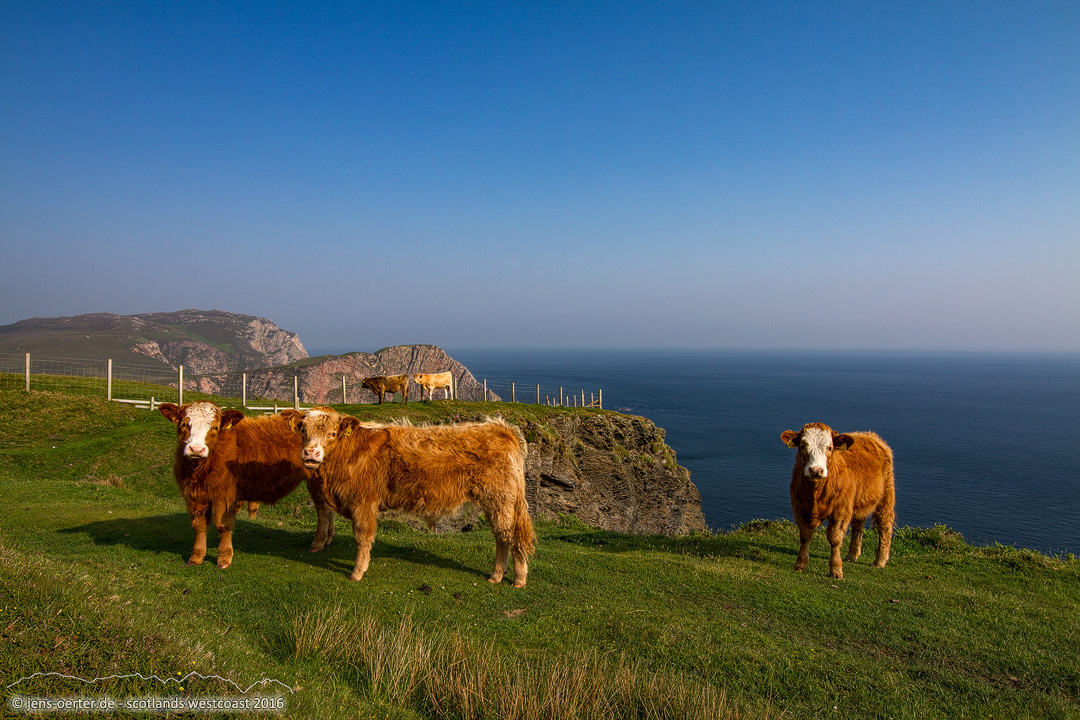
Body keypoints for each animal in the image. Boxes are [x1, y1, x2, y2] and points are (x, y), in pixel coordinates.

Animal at [159, 401, 336, 569]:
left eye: (215, 427)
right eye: (183, 425)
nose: (196, 449)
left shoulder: (225, 495)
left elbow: (222, 525)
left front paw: (224, 559)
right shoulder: (195, 495)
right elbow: (199, 525)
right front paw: (196, 557)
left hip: (316, 480)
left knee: (322, 511)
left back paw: (318, 542)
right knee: (328, 509)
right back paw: (328, 538)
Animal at [280, 407, 536, 588]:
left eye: (332, 434)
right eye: (303, 430)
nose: (311, 453)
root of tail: (500, 427)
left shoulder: (363, 503)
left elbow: (363, 537)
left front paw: (357, 572)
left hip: (501, 500)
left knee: (511, 535)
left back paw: (519, 579)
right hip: (495, 503)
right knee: (501, 536)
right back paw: (496, 575)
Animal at [781, 422, 895, 579]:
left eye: (829, 447)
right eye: (803, 446)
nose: (816, 470)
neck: (815, 493)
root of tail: (870, 435)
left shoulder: (840, 510)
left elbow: (835, 539)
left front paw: (836, 570)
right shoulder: (799, 506)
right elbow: (805, 535)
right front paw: (800, 564)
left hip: (886, 497)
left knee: (884, 526)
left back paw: (880, 560)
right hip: (859, 501)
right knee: (858, 526)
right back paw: (852, 555)